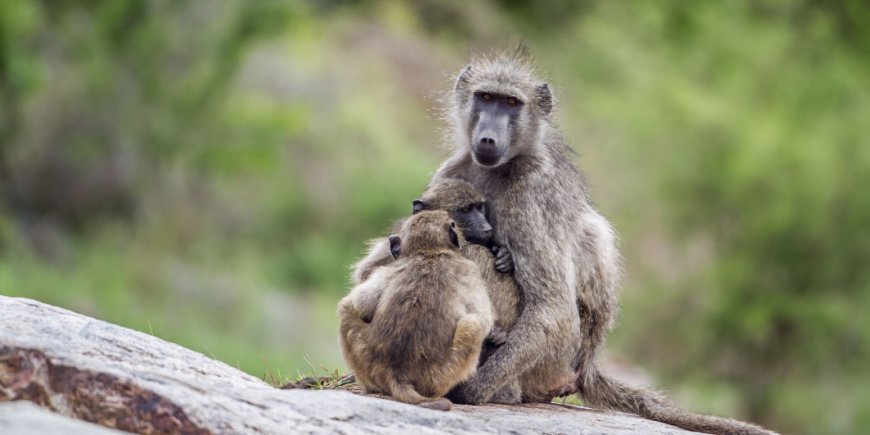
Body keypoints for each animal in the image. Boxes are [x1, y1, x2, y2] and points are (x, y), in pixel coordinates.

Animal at [338, 210, 495, 410]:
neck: (430, 251)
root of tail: (397, 374)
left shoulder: (390, 268)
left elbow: (362, 303)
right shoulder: (470, 270)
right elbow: (483, 318)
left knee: (346, 308)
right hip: (439, 377)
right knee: (472, 324)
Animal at [430, 49, 775, 434]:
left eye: (511, 103)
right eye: (486, 97)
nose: (489, 138)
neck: (498, 166)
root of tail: (585, 366)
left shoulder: (531, 191)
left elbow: (554, 309)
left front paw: (470, 391)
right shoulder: (449, 173)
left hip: (552, 360)